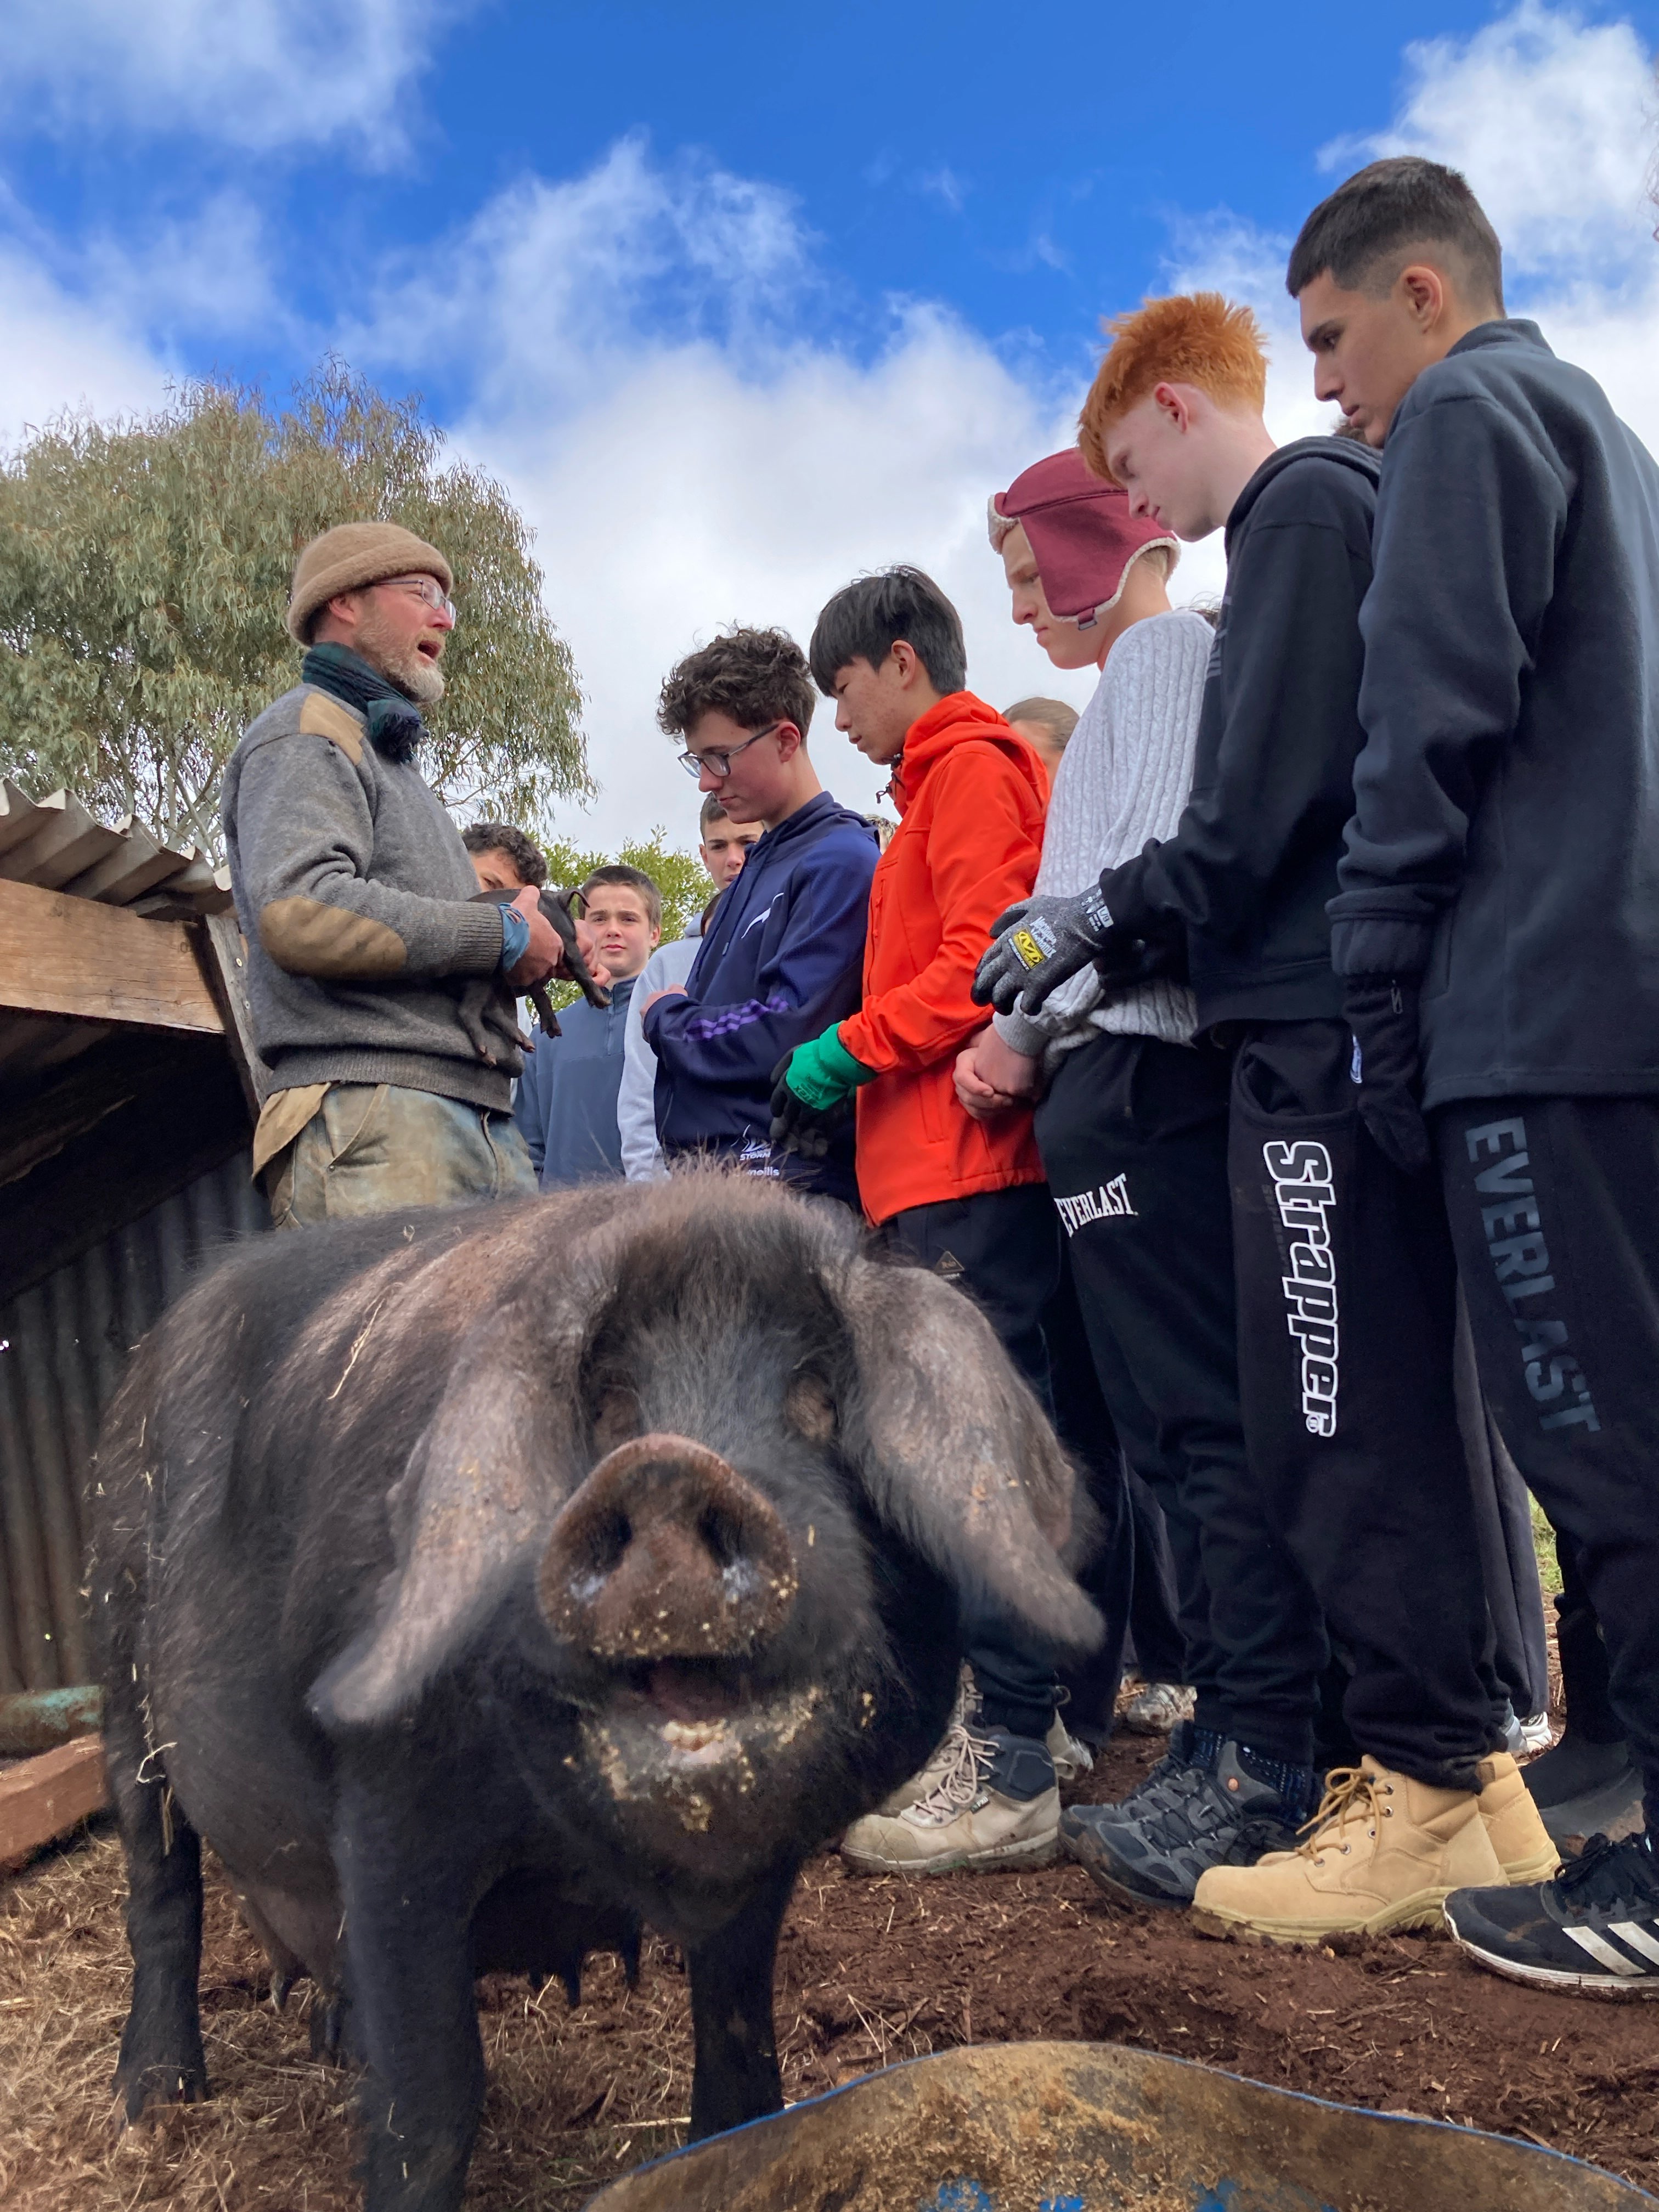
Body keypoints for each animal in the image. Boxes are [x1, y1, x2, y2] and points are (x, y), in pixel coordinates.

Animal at [91, 1169, 1101, 2212]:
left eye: (817, 1396)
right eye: (610, 1404)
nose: (668, 1471)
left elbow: (742, 2049)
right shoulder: (382, 1807)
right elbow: (433, 2099)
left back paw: (326, 2053)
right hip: (116, 1649)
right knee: (160, 1885)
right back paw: (153, 2106)